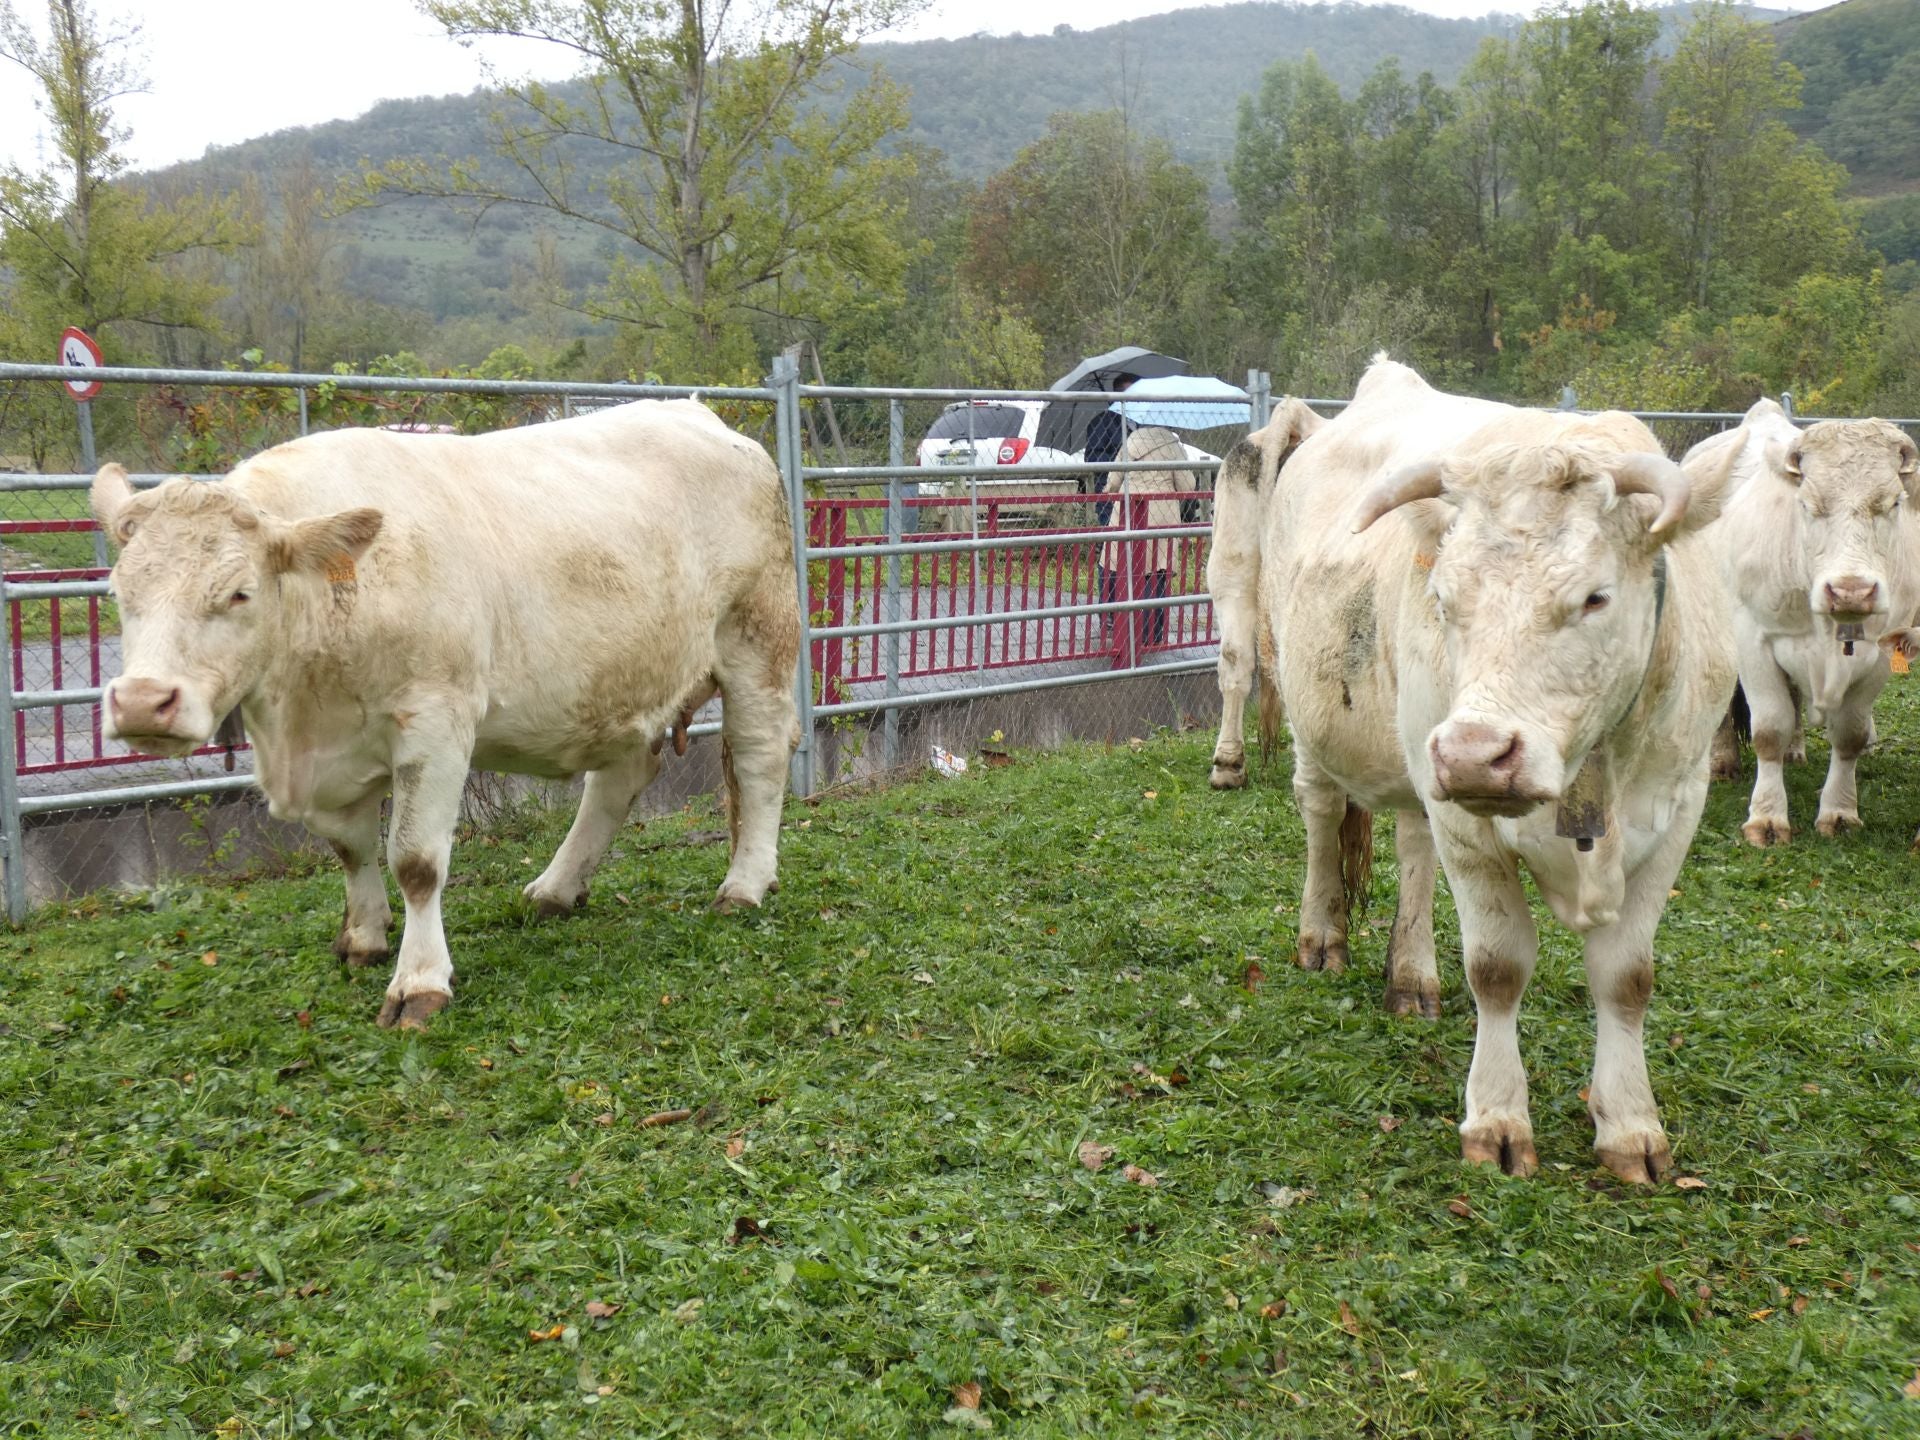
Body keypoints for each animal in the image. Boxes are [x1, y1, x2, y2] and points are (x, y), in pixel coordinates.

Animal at [88, 397, 794, 1029]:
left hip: (757, 638)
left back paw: (743, 886)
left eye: (240, 592)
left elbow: (416, 861)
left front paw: (420, 982)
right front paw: (364, 938)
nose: (143, 702)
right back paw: (556, 889)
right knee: (619, 780)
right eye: (119, 591)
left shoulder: (435, 721)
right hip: (623, 676)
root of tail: (700, 415)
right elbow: (348, 847)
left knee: (759, 758)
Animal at [1259, 359, 1743, 1182]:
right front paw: (1496, 1120)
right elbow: (1496, 967)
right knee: (1322, 817)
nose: (1473, 753)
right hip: (1322, 719)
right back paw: (1322, 936)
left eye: (1594, 596)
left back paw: (1411, 976)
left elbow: (1627, 977)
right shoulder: (1466, 818)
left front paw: (1631, 1127)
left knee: (1412, 846)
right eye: (1443, 597)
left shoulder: (1679, 808)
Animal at [1697, 397, 1920, 844]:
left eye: (1893, 503)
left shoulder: (1882, 654)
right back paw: (1724, 760)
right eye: (1807, 505)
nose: (1851, 590)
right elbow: (1769, 728)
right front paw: (1767, 818)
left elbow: (1850, 734)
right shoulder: (1753, 640)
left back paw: (1795, 750)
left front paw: (1839, 812)